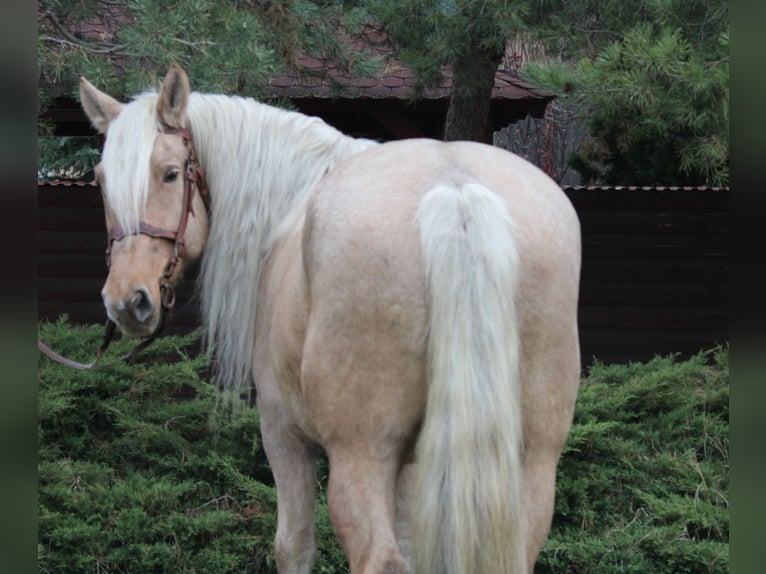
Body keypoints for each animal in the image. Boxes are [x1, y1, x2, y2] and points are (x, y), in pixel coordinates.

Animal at [78, 63, 581, 574]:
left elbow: (294, 544)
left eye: (170, 174)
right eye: (101, 181)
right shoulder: (413, 463)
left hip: (360, 455)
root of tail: (455, 190)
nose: (127, 301)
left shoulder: (282, 433)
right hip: (530, 465)